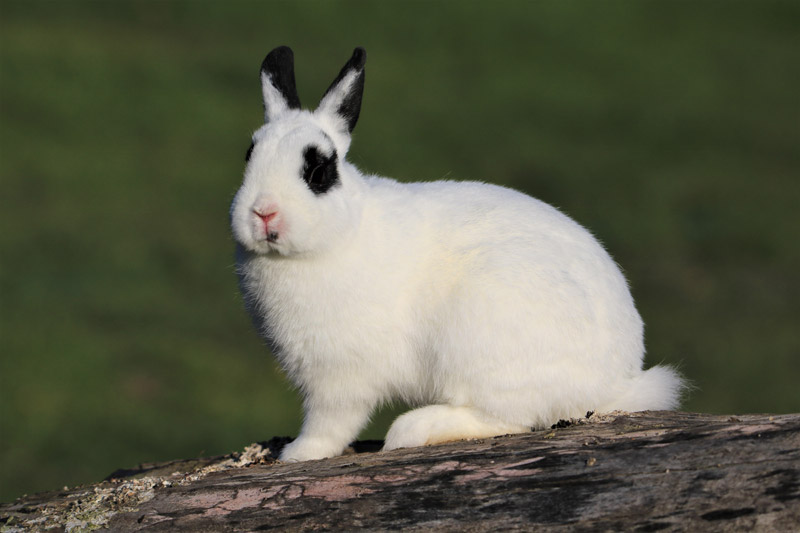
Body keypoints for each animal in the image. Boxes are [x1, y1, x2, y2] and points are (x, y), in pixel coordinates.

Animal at [230, 46, 685, 463]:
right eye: (249, 155)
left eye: (319, 172)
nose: (263, 212)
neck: (341, 235)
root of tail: (616, 383)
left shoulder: (339, 377)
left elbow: (329, 425)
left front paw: (295, 455)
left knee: (510, 418)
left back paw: (413, 430)